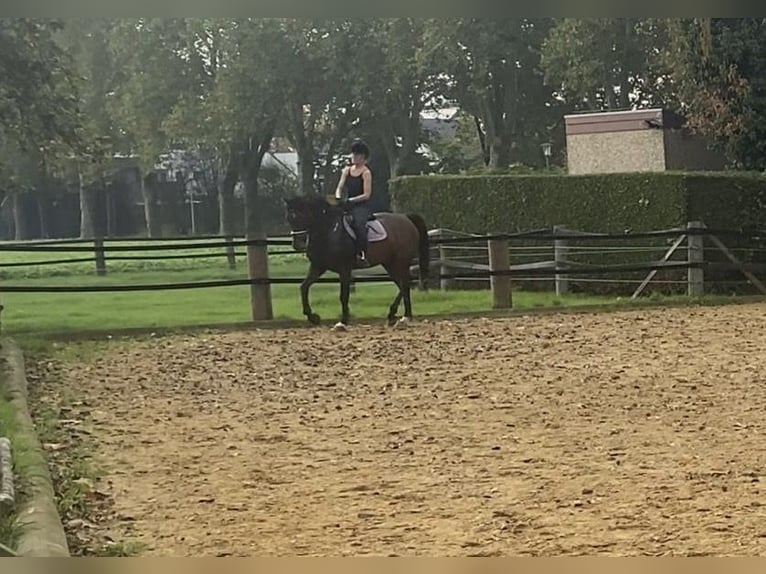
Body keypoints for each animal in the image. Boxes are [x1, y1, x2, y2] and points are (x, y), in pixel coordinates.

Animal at [284, 196, 432, 330]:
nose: (297, 245)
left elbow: (343, 295)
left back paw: (402, 317)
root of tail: (406, 218)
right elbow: (304, 287)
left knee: (405, 284)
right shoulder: (318, 267)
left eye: (300, 216)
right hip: (390, 264)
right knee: (403, 285)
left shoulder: (344, 269)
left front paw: (342, 322)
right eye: (289, 218)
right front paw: (313, 317)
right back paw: (398, 316)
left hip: (400, 262)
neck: (329, 231)